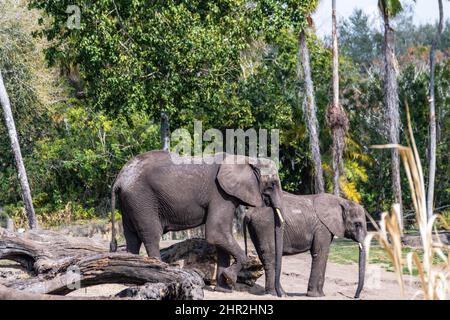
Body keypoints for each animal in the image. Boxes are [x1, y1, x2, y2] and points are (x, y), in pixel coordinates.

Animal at [110, 151, 284, 296]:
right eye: (273, 184)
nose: (280, 294)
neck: (246, 159)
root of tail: (119, 179)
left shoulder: (226, 194)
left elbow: (221, 237)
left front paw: (224, 289)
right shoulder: (221, 194)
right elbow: (216, 233)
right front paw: (229, 277)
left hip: (130, 202)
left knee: (132, 237)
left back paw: (129, 279)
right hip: (142, 199)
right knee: (151, 236)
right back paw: (156, 277)